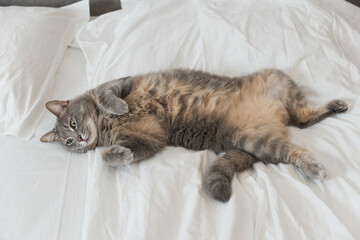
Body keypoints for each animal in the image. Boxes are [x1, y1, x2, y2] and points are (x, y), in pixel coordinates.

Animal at [40, 68, 348, 202]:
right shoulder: (148, 138)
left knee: (302, 122)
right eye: (68, 141)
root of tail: (278, 119)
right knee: (301, 128)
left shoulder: (121, 82)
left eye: (72, 123)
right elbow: (119, 154)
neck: (104, 126)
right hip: (256, 140)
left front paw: (117, 107)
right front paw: (120, 154)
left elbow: (107, 95)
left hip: (279, 81)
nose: (79, 140)